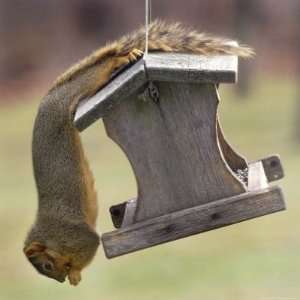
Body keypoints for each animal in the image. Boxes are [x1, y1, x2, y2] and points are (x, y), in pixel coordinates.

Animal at [23, 19, 253, 286]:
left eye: (47, 265)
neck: (51, 235)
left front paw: (75, 274)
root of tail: (47, 100)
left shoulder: (75, 235)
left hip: (78, 91)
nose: (59, 281)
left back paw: (121, 59)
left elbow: (90, 244)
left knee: (99, 70)